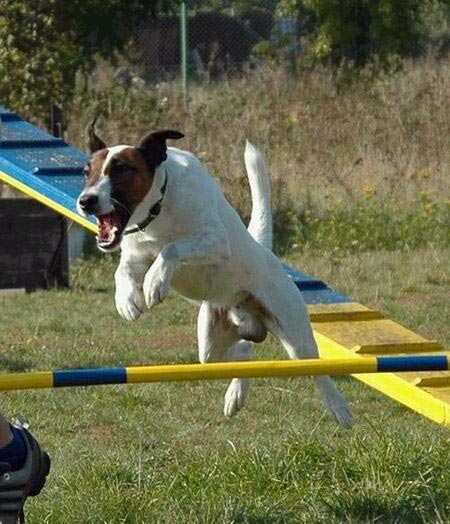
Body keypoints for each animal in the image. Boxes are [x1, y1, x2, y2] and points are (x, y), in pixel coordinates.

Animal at [76, 125, 352, 428]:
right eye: (87, 171)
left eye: (121, 168)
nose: (85, 201)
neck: (158, 209)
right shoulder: (135, 253)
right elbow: (122, 270)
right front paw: (127, 300)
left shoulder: (215, 241)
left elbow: (172, 249)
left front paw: (154, 282)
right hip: (211, 340)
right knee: (242, 352)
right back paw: (236, 394)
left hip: (294, 332)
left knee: (314, 368)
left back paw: (339, 407)